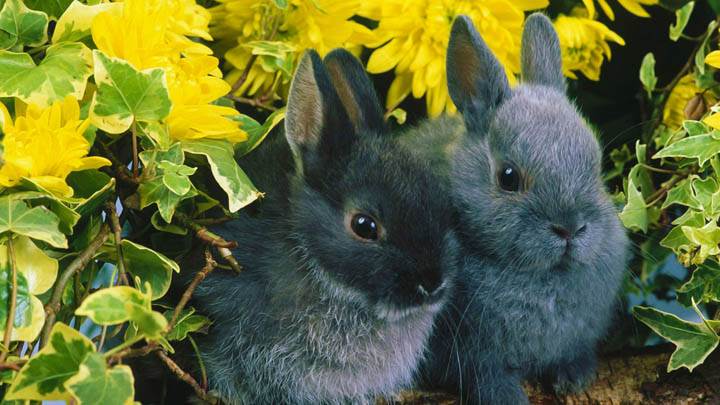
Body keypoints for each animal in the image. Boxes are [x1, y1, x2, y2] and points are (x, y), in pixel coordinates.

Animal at [405, 14, 630, 404]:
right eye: (508, 177)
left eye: (596, 164)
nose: (570, 228)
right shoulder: (466, 352)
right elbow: (484, 375)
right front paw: (506, 396)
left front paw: (575, 377)